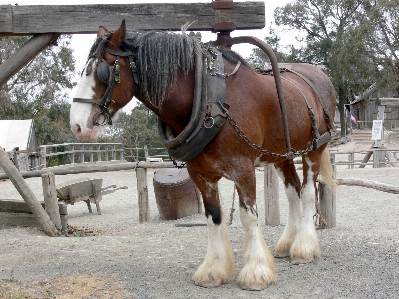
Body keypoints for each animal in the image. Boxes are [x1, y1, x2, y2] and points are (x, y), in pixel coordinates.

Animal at [69, 20, 338, 290]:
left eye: (101, 71)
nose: (77, 126)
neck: (211, 100)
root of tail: (321, 76)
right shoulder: (200, 174)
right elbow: (213, 216)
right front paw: (214, 271)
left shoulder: (243, 170)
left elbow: (248, 217)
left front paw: (256, 272)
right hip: (283, 154)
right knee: (293, 192)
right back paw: (287, 243)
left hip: (314, 149)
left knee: (307, 193)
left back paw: (303, 248)